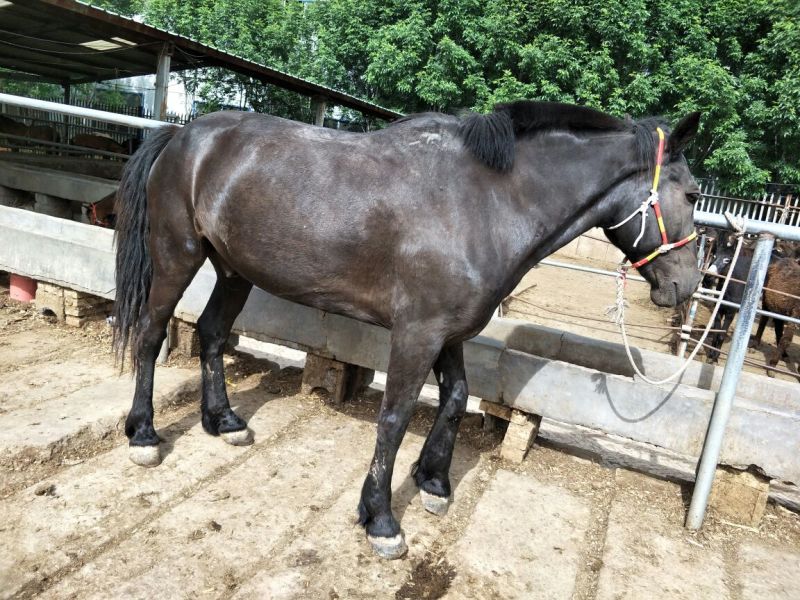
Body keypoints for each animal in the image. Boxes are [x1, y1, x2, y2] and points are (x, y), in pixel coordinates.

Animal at [112, 101, 702, 559]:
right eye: (694, 194)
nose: (686, 286)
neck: (484, 202)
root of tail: (181, 136)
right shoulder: (418, 333)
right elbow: (394, 418)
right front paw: (381, 519)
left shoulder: (450, 333)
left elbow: (457, 398)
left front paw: (434, 481)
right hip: (177, 257)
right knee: (150, 335)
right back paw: (143, 434)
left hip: (234, 270)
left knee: (212, 333)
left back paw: (224, 421)